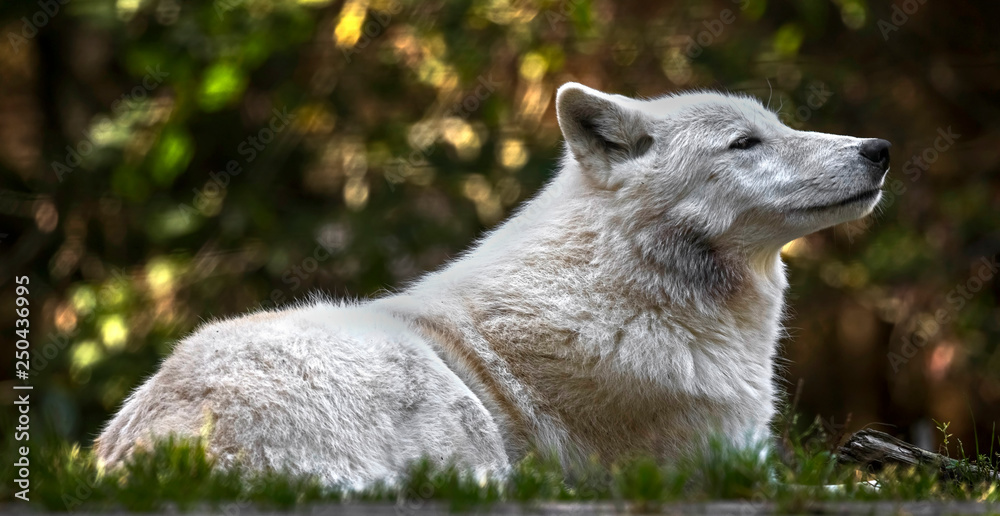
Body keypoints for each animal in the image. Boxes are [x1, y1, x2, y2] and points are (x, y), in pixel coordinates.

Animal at [95, 83, 890, 487]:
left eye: (779, 125)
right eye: (745, 143)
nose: (879, 148)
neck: (635, 291)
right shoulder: (718, 465)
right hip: (443, 408)